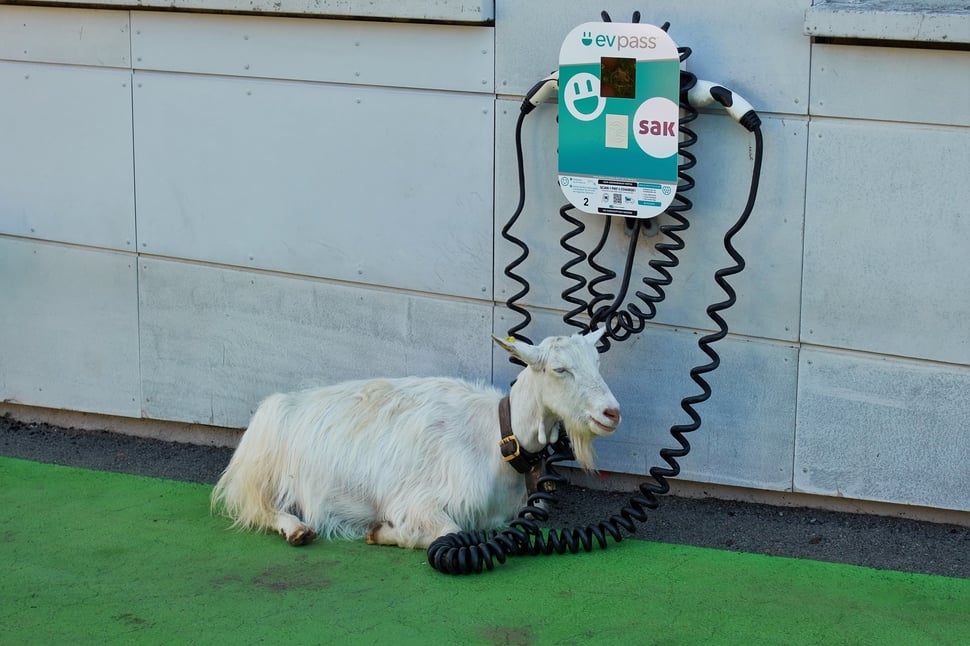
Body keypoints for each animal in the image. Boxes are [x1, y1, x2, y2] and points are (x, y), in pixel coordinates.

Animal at [210, 329, 621, 549]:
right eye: (560, 369)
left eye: (598, 364)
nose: (611, 413)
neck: (495, 437)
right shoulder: (418, 501)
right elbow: (452, 532)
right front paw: (381, 531)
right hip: (260, 476)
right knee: (258, 508)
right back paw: (296, 529)